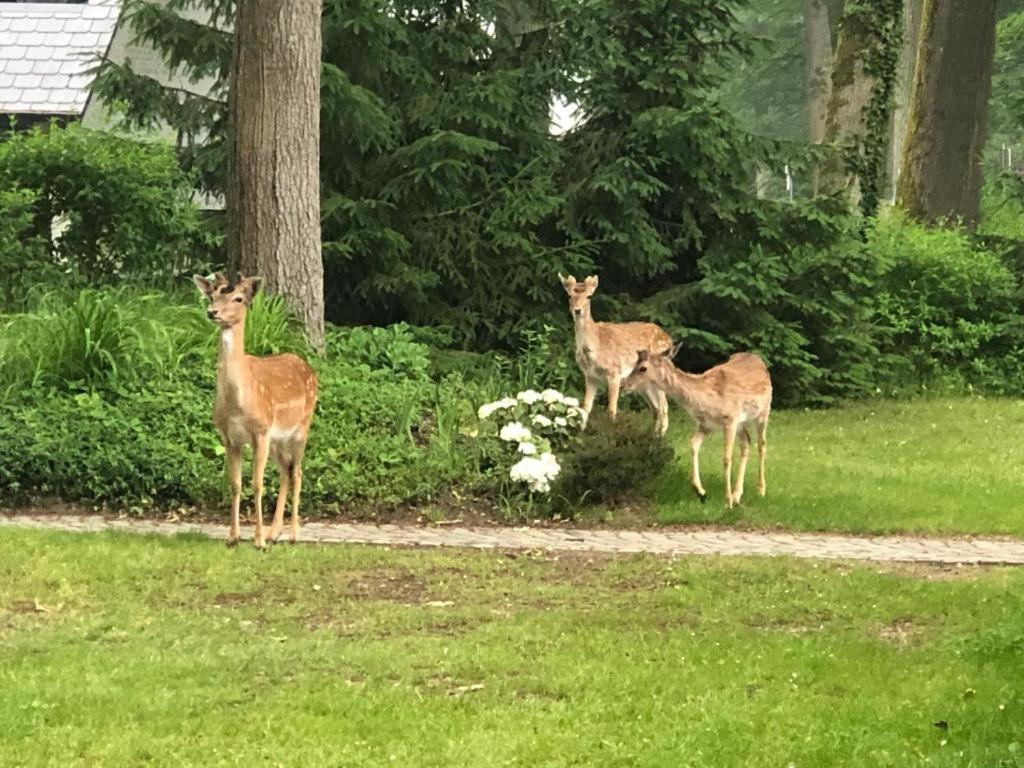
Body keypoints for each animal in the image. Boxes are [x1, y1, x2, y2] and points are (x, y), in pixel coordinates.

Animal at [192, 274, 317, 548]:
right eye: (212, 295)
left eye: (238, 298)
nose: (212, 312)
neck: (238, 403)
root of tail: (307, 366)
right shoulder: (230, 437)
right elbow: (236, 484)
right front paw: (233, 537)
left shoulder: (260, 431)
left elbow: (257, 484)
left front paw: (258, 541)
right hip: (277, 440)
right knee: (285, 471)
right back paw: (274, 533)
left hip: (301, 427)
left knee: (298, 472)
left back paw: (292, 535)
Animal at [561, 274, 671, 436]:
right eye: (569, 295)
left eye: (589, 296)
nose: (577, 310)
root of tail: (668, 339)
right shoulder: (590, 376)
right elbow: (586, 408)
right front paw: (580, 436)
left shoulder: (615, 373)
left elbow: (611, 410)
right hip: (643, 383)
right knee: (655, 408)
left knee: (664, 407)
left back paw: (660, 438)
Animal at [618, 346, 770, 507]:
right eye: (634, 363)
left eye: (643, 368)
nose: (623, 385)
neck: (707, 400)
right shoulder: (706, 424)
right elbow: (693, 444)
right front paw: (700, 491)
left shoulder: (731, 419)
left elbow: (726, 458)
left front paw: (727, 501)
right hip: (742, 424)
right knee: (747, 442)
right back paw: (737, 495)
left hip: (764, 412)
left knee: (761, 445)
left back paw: (760, 490)